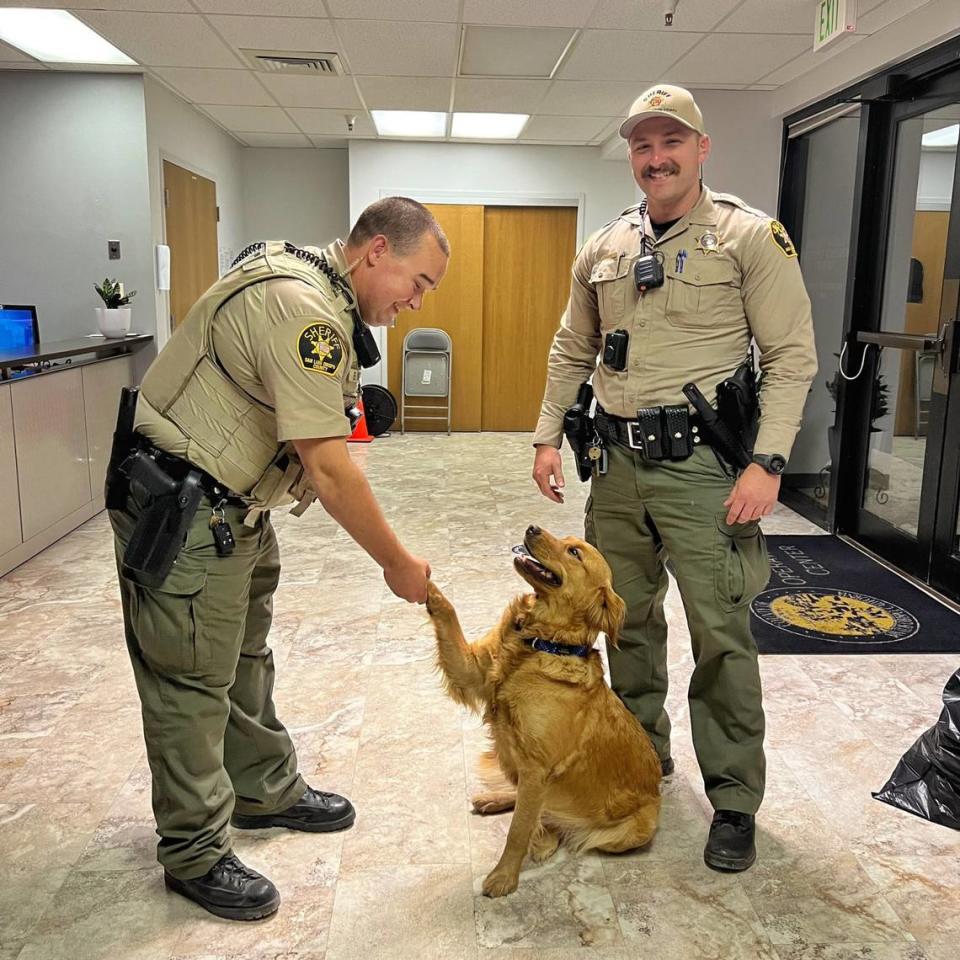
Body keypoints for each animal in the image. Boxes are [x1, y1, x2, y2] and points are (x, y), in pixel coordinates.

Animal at [426, 520, 660, 896]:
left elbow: (519, 829)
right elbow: (449, 616)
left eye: (574, 552)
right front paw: (423, 582)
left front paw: (504, 876)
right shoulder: (471, 670)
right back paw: (495, 800)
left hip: (634, 830)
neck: (540, 643)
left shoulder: (537, 768)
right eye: (566, 540)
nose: (532, 527)